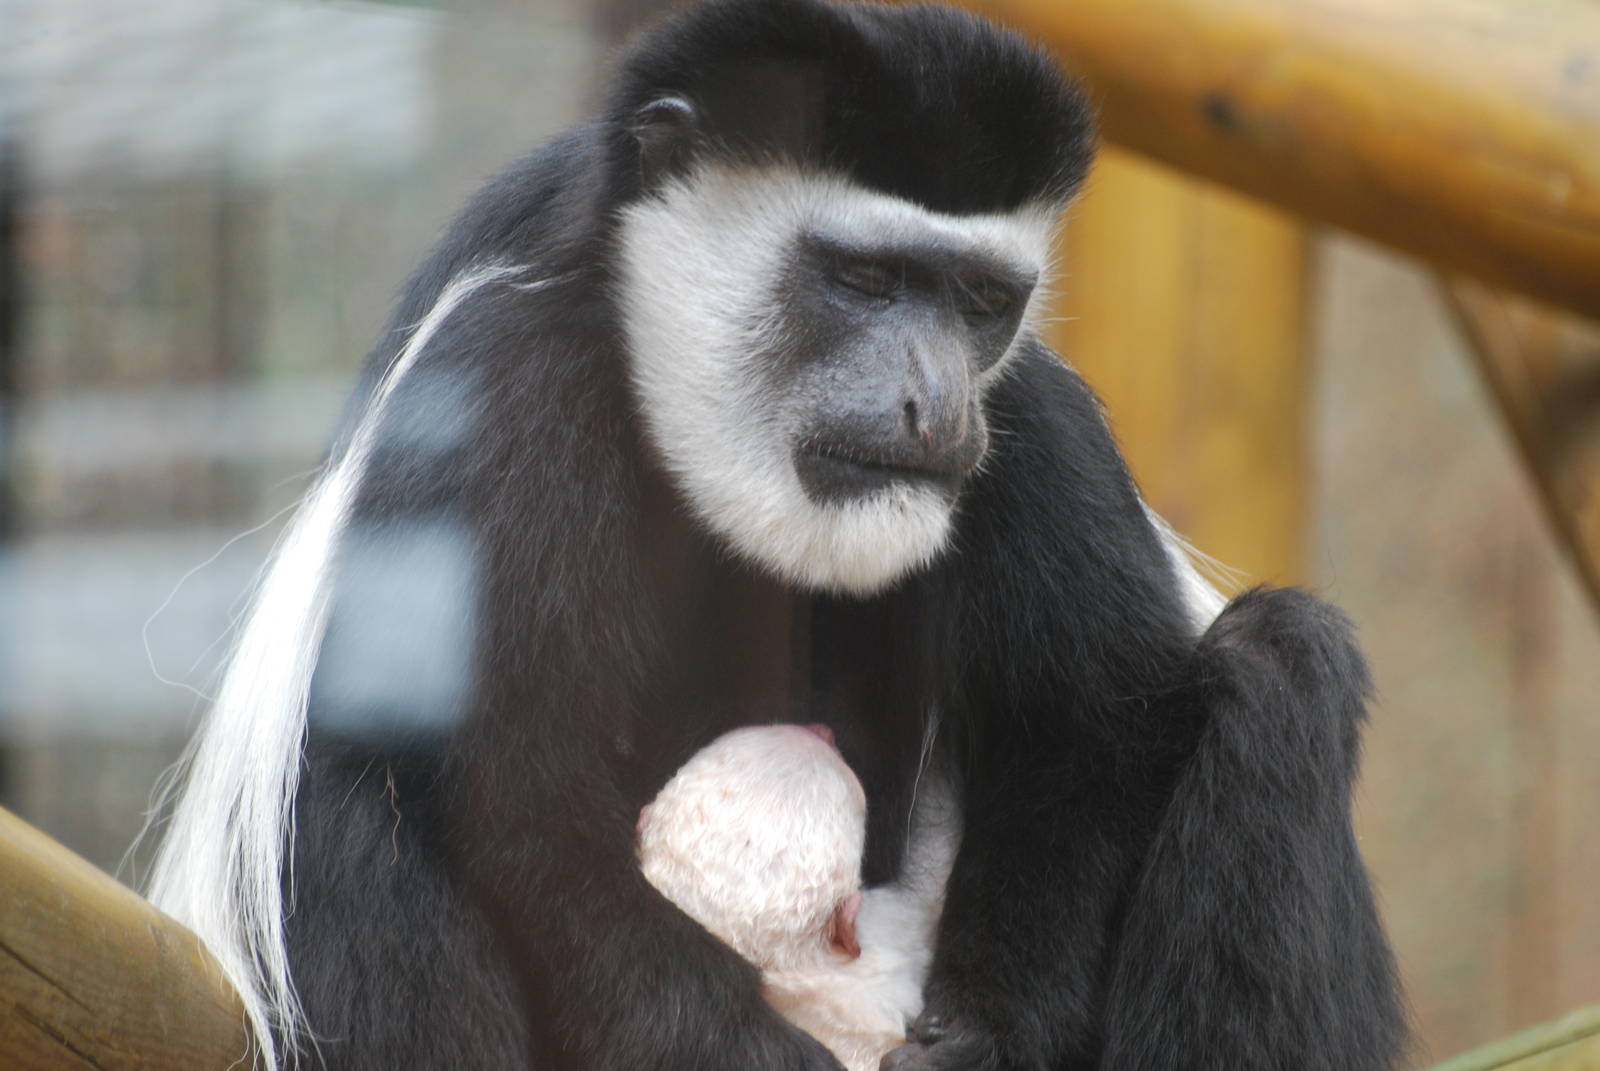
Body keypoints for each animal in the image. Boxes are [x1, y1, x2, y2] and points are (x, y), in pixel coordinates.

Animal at [148, 1, 1407, 1068]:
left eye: (979, 301)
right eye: (862, 278)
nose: (933, 405)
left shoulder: (1029, 425)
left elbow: (1092, 725)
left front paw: (982, 1037)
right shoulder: (500, 386)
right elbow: (524, 786)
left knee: (1278, 665)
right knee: (347, 808)